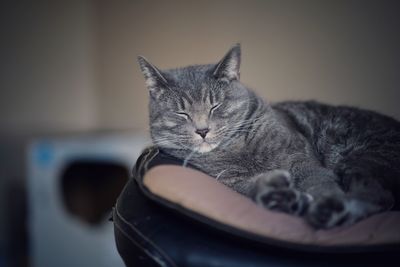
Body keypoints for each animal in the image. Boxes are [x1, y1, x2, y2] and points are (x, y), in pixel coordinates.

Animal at [138, 44, 400, 230]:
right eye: (181, 112)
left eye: (216, 106)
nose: (202, 130)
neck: (236, 148)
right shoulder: (231, 181)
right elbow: (250, 187)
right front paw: (276, 193)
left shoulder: (301, 159)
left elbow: (320, 181)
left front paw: (318, 198)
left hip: (361, 157)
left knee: (377, 196)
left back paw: (329, 211)